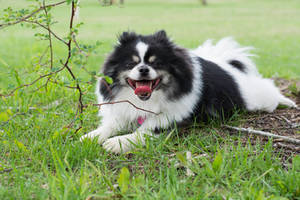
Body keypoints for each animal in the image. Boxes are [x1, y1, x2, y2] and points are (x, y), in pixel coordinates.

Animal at [80, 30, 298, 153]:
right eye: (130, 64)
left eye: (156, 63)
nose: (143, 69)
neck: (146, 101)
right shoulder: (123, 112)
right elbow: (109, 126)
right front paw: (91, 137)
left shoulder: (169, 120)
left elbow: (144, 132)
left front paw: (117, 143)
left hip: (257, 98)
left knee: (271, 91)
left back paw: (288, 102)